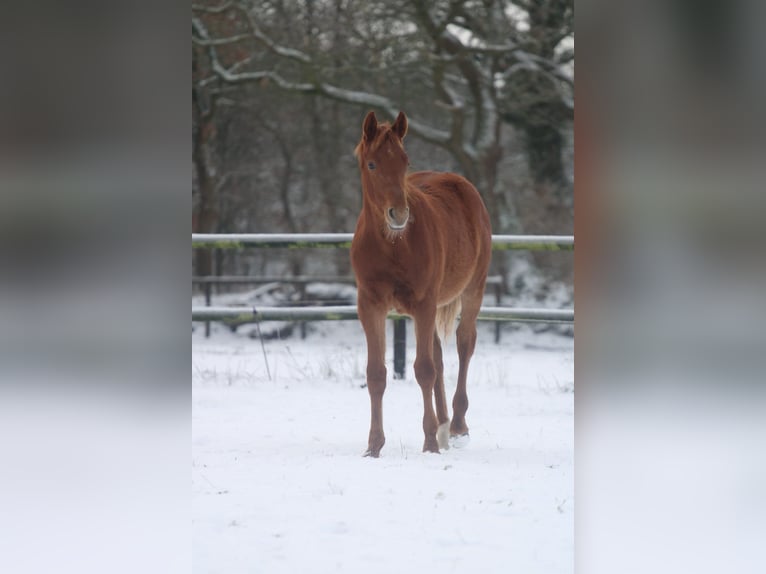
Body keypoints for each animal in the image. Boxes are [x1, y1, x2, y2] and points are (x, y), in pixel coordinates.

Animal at [350, 110, 492, 457]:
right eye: (372, 164)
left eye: (404, 161)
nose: (399, 214)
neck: (392, 245)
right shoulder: (370, 306)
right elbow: (376, 374)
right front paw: (374, 446)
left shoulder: (423, 303)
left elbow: (424, 370)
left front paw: (429, 443)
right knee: (439, 356)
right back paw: (443, 427)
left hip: (473, 290)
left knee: (464, 343)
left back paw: (456, 426)